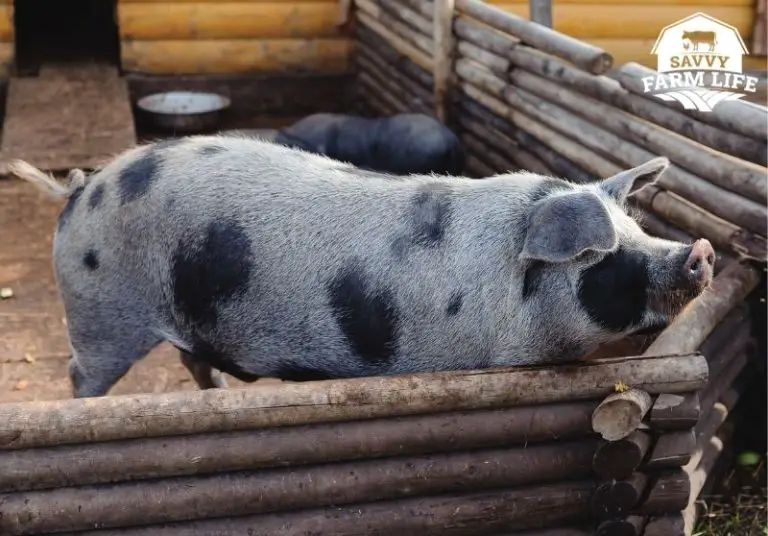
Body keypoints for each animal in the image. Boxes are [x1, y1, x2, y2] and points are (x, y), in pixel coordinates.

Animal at [9, 135, 715, 398]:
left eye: (638, 226)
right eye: (601, 254)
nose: (699, 251)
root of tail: (79, 190)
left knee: (193, 360)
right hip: (101, 313)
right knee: (80, 374)